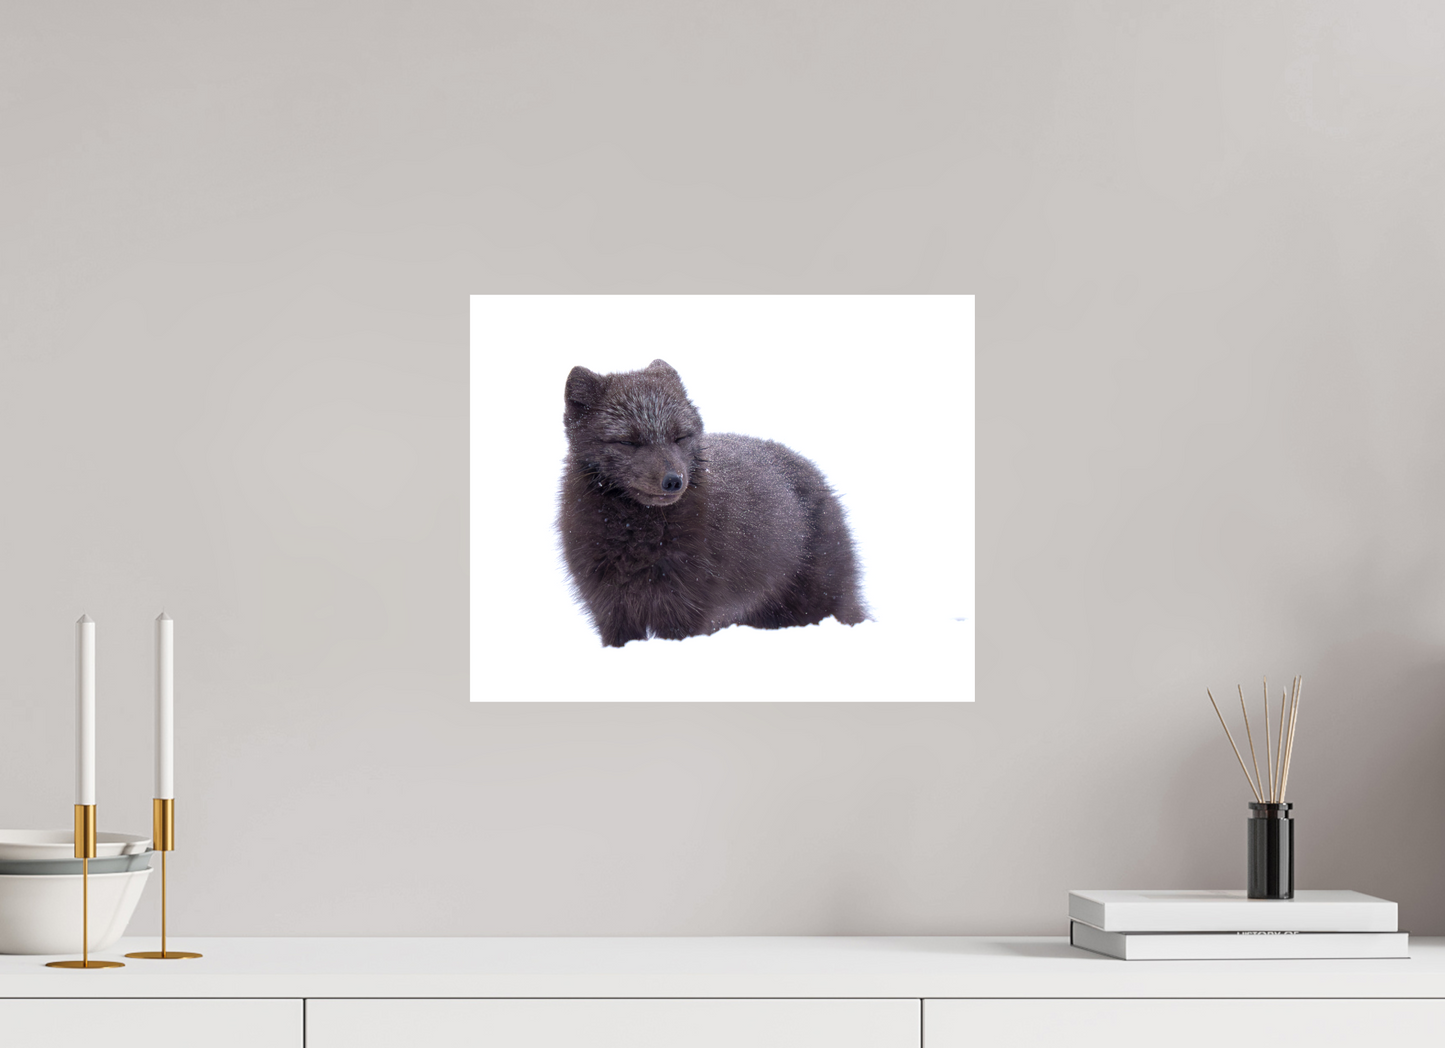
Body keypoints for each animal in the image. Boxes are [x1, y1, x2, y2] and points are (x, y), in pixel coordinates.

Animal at [557, 359, 868, 647]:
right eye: (628, 442)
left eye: (679, 437)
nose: (673, 481)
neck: (638, 538)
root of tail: (814, 471)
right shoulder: (610, 609)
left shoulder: (686, 609)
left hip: (817, 601)